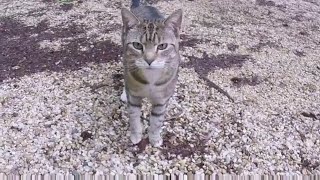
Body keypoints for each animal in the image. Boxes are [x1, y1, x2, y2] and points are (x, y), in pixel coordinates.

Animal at [120, 0, 182, 146]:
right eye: (137, 45)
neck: (151, 79)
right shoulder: (134, 97)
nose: (149, 60)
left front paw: (154, 138)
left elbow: (156, 122)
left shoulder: (161, 101)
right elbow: (134, 117)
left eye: (162, 46)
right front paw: (135, 135)